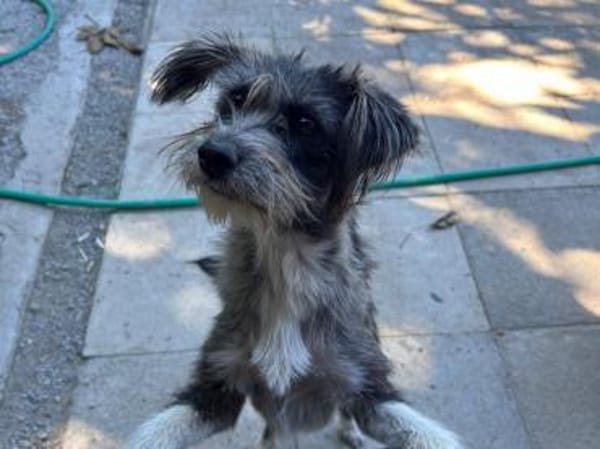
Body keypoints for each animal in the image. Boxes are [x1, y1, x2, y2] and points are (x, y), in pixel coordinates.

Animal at [127, 33, 464, 449]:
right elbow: (153, 433)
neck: (284, 256)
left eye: (305, 123)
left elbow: (427, 434)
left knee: (343, 414)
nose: (212, 154)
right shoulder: (215, 392)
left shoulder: (370, 390)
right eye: (235, 99)